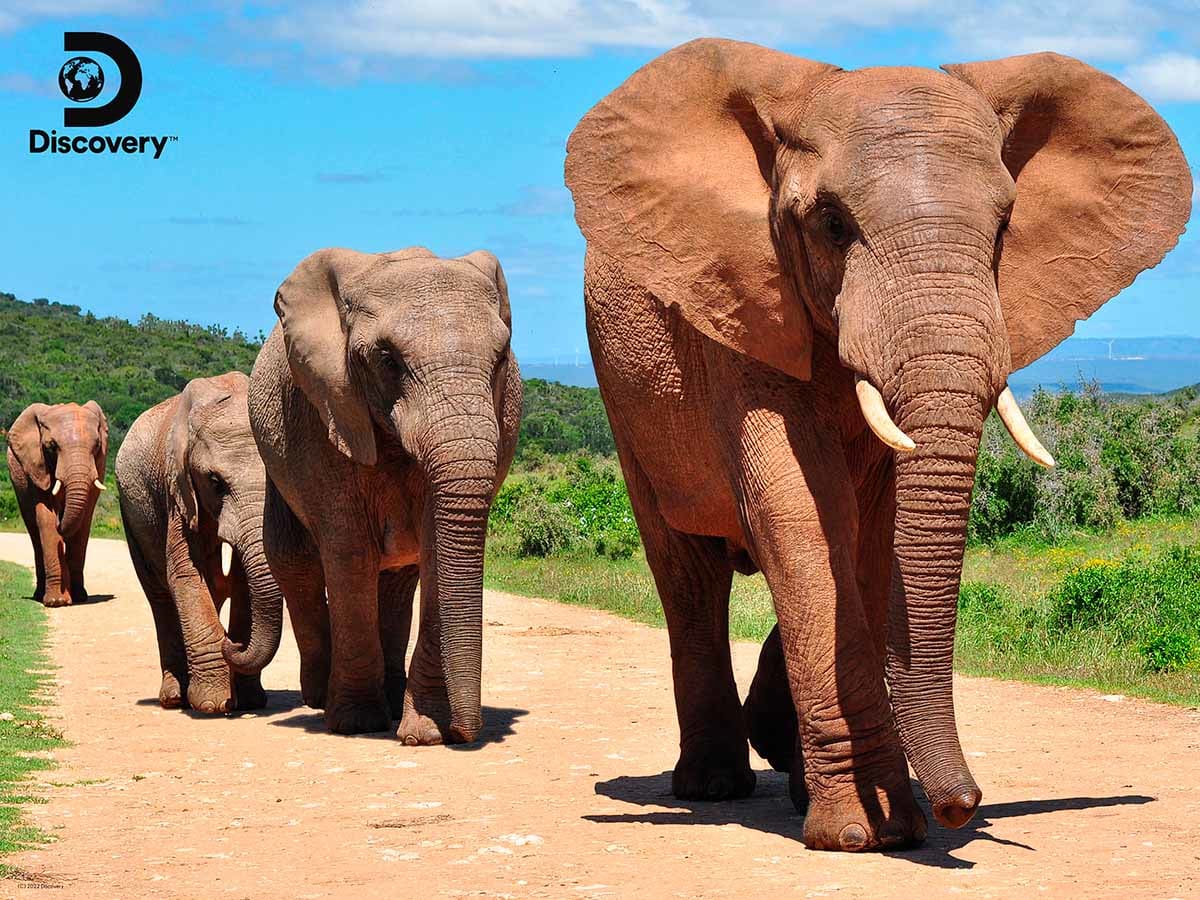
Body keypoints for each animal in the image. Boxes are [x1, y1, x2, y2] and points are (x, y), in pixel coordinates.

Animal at [7, 401, 109, 607]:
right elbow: (46, 518)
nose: (60, 520)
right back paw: (40, 595)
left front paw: (78, 597)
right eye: (51, 446)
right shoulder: (36, 467)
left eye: (97, 446)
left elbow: (84, 523)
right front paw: (57, 602)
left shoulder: (99, 465)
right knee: (34, 532)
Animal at [116, 373, 283, 714]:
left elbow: (244, 580)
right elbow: (185, 574)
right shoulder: (177, 489)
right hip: (131, 511)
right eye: (215, 483)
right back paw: (173, 698)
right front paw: (212, 705)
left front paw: (249, 701)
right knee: (160, 597)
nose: (231, 644)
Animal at [246, 246, 521, 742]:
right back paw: (321, 699)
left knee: (396, 578)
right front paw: (356, 723)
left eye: (501, 358)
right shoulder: (323, 410)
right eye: (388, 360)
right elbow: (350, 550)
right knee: (294, 559)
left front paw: (424, 732)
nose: (467, 734)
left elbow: (435, 549)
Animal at [564, 39, 1190, 851]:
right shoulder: (742, 305)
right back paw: (712, 786)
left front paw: (887, 818)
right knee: (688, 574)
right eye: (831, 224)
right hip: (625, 396)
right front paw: (869, 832)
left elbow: (869, 533)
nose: (963, 805)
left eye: (1004, 228)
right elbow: (803, 514)